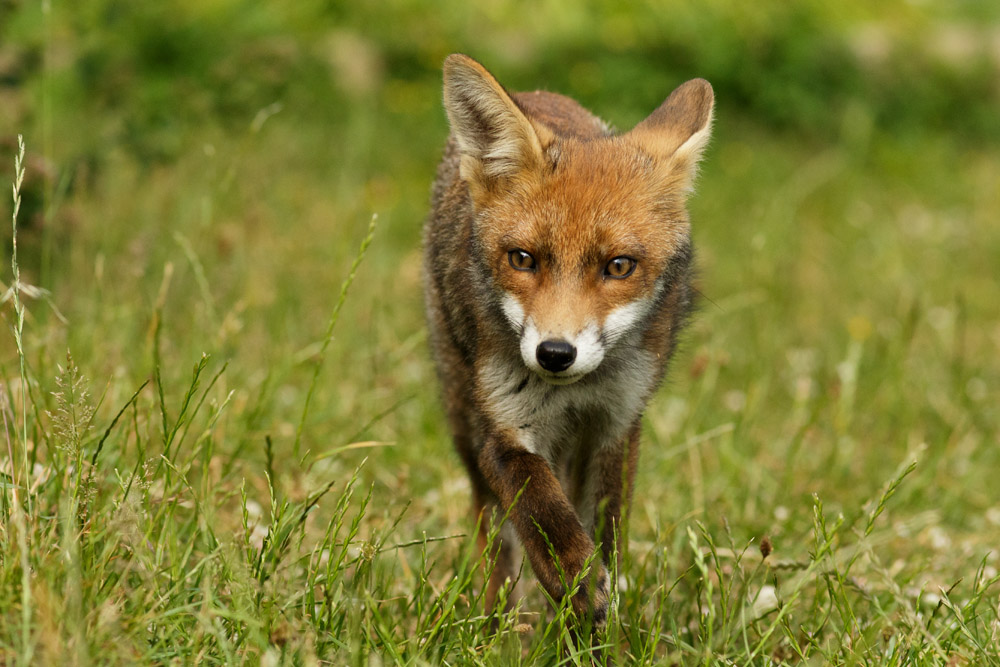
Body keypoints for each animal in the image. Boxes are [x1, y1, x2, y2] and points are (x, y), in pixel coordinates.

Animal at [423, 53, 713, 625]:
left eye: (619, 266)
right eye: (522, 259)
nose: (554, 355)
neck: (574, 394)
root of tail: (540, 93)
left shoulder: (616, 425)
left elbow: (605, 535)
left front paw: (599, 625)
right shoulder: (502, 426)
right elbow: (542, 507)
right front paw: (575, 579)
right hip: (462, 411)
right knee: (495, 539)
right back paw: (497, 627)